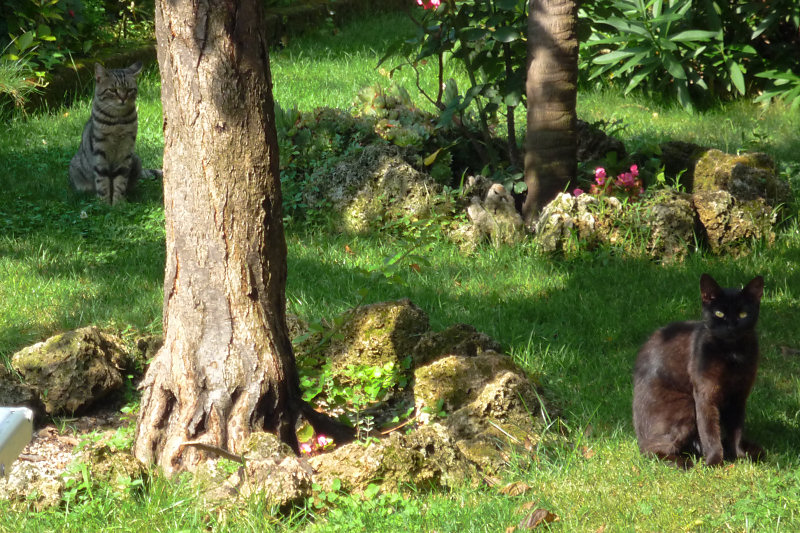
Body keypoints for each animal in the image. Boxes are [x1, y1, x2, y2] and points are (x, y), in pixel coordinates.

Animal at [69, 61, 152, 205]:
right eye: (113, 90)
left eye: (129, 90)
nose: (123, 98)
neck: (117, 123)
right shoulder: (100, 152)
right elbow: (102, 181)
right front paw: (104, 203)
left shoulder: (126, 151)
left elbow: (120, 180)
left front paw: (118, 203)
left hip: (135, 160)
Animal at [632, 272, 764, 468]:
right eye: (719, 313)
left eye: (743, 314)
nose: (731, 326)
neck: (732, 354)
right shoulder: (705, 395)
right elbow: (709, 431)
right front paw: (713, 463)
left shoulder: (739, 396)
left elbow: (737, 429)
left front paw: (740, 456)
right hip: (685, 406)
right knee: (651, 450)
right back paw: (685, 463)